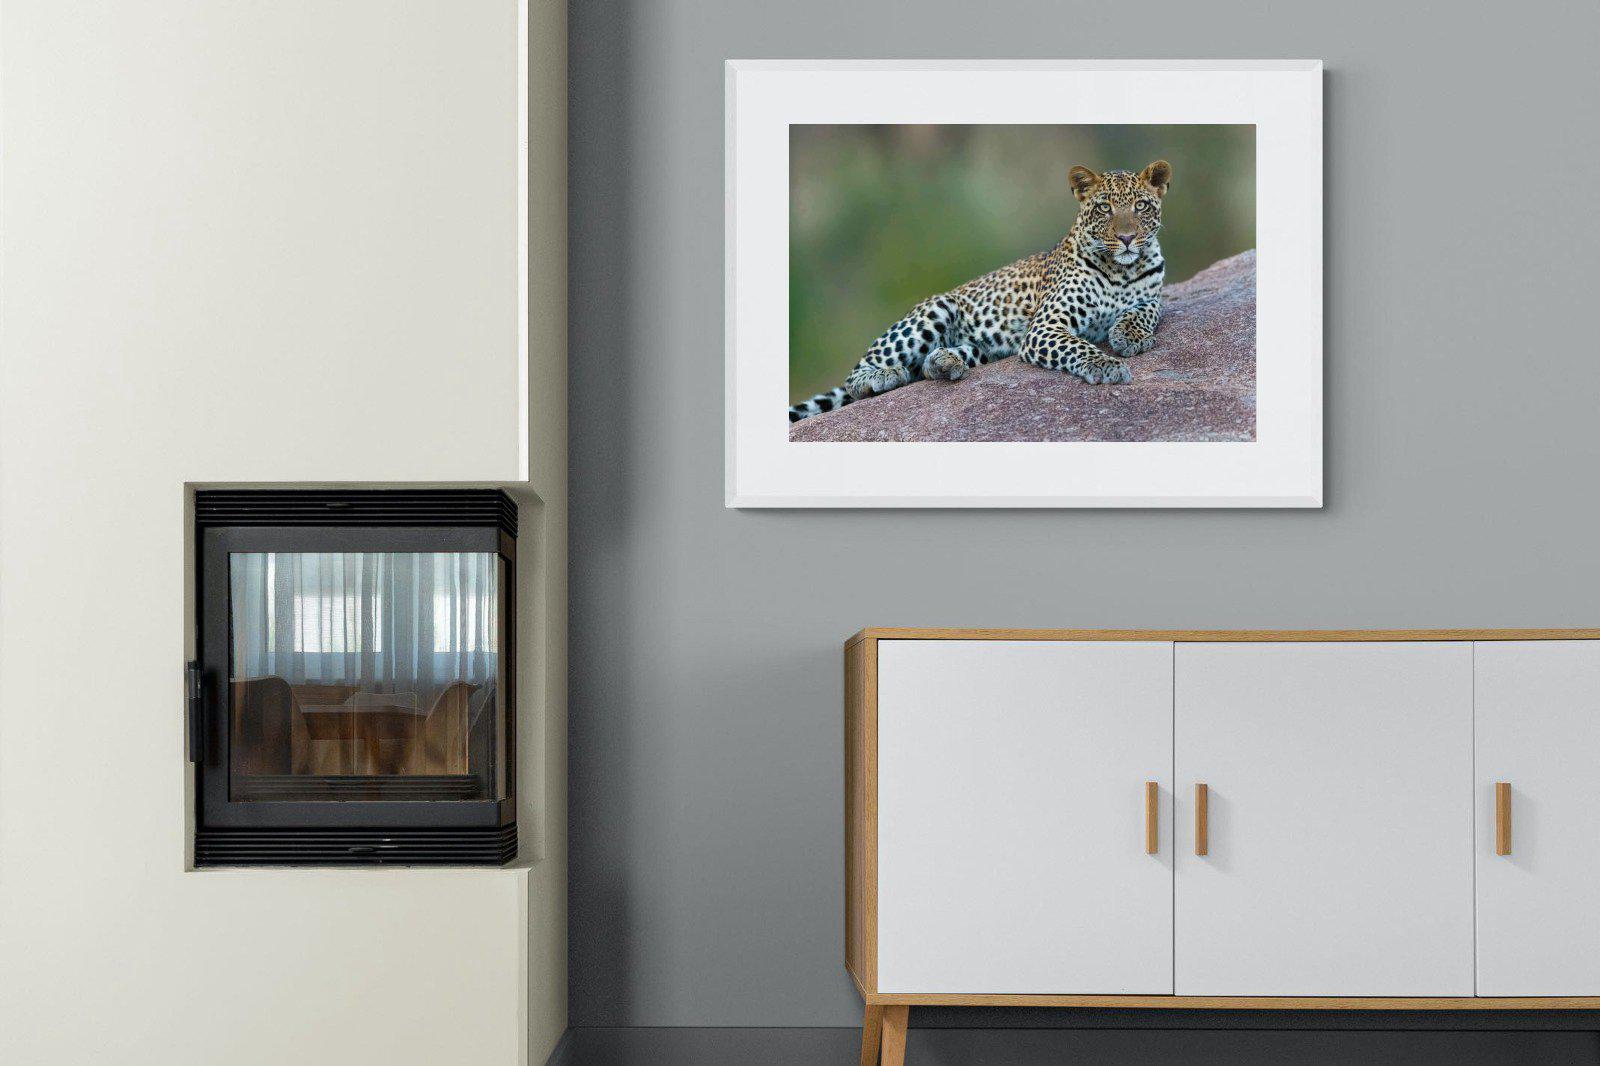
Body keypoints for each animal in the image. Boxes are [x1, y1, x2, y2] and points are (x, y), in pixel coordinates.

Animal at [788, 159, 1172, 423]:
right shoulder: (1045, 327)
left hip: (982, 348)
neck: (1122, 269)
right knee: (858, 375)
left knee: (930, 365)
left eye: (1140, 206)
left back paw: (944, 362)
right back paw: (885, 375)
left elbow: (1147, 310)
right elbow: (1078, 346)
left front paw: (1129, 335)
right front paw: (1107, 365)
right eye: (1104, 207)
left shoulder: (1153, 295)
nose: (1126, 238)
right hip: (935, 309)